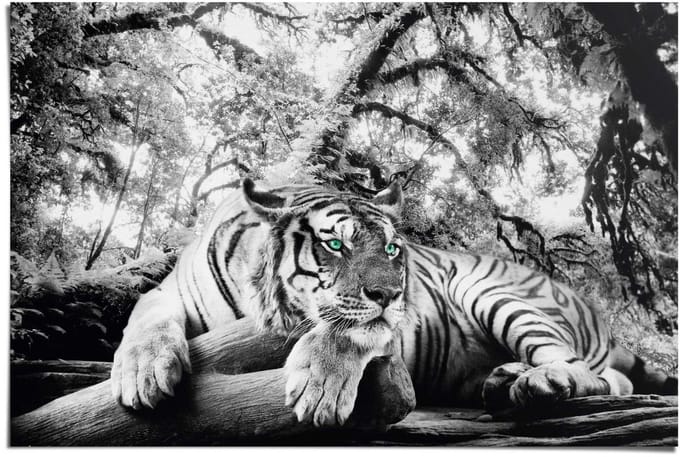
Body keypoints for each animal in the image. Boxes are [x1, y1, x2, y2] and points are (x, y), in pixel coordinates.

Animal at [111, 178, 677, 426]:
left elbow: (347, 331)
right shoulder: (168, 292)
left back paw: (540, 382)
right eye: (334, 244)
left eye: (390, 248)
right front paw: (143, 372)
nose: (390, 293)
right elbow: (145, 316)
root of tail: (595, 310)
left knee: (591, 372)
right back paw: (503, 379)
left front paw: (319, 388)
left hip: (493, 293)